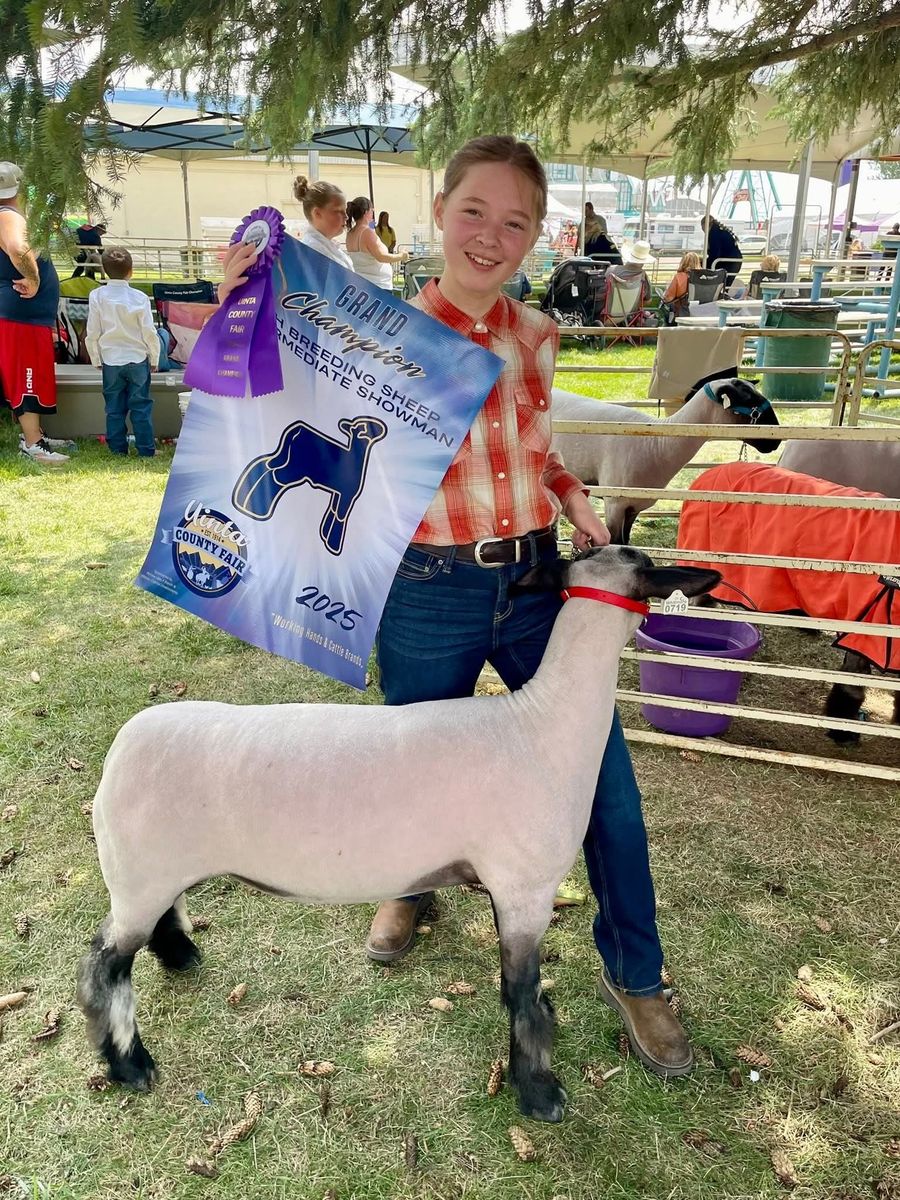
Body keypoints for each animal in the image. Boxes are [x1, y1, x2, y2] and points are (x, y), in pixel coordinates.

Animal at [76, 546, 720, 1123]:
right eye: (644, 565)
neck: (543, 723)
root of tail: (119, 749)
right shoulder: (525, 887)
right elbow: (521, 995)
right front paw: (539, 1093)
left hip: (157, 868)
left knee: (155, 924)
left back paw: (181, 957)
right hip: (138, 872)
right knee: (102, 969)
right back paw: (130, 1065)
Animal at [551, 378, 780, 543]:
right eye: (748, 399)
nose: (776, 441)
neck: (657, 444)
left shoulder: (634, 505)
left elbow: (626, 541)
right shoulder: (615, 503)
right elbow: (615, 543)